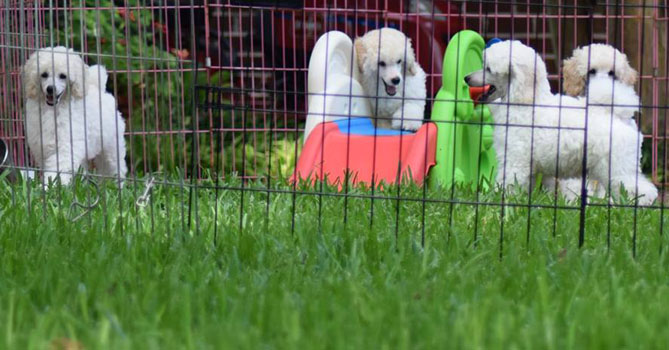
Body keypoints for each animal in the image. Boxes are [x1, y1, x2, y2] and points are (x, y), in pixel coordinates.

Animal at [21, 46, 127, 186]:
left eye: (63, 76)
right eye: (44, 74)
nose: (50, 89)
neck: (54, 109)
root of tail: (98, 88)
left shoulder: (66, 145)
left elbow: (59, 167)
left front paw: (51, 186)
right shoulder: (41, 147)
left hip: (111, 145)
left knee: (113, 167)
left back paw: (115, 186)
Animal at [462, 40, 656, 205]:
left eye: (488, 69)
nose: (466, 78)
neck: (526, 100)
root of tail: (616, 115)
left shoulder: (515, 160)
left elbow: (507, 183)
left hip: (617, 165)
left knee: (641, 190)